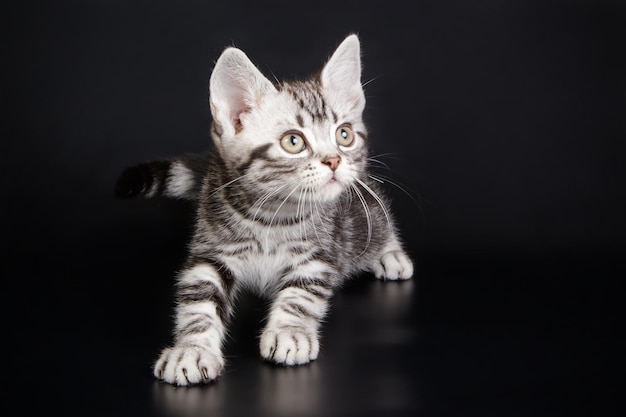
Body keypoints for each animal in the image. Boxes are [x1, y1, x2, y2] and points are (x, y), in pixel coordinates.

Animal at [114, 34, 412, 386]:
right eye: (293, 142)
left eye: (344, 135)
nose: (334, 160)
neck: (272, 217)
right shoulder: (211, 250)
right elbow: (198, 298)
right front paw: (191, 348)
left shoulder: (322, 252)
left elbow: (301, 294)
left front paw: (290, 332)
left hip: (365, 209)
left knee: (381, 225)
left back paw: (391, 255)